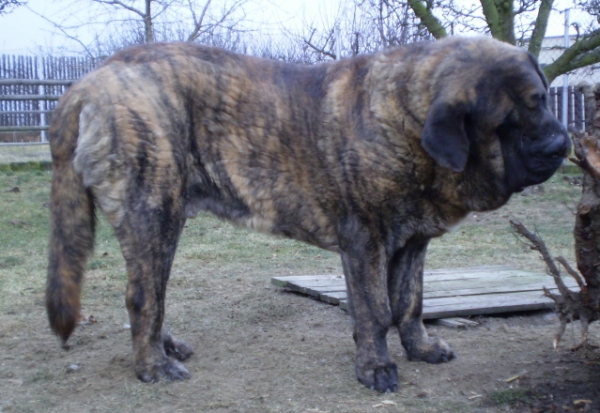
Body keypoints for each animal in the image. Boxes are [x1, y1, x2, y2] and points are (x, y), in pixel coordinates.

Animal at [45, 35, 568, 390]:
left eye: (542, 100)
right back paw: (153, 365)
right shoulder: (365, 240)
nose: (560, 145)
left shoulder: (412, 240)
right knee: (142, 297)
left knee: (150, 293)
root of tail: (86, 82)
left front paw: (420, 348)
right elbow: (375, 309)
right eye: (506, 123)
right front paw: (376, 367)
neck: (405, 119)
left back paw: (165, 344)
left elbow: (410, 302)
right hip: (155, 211)